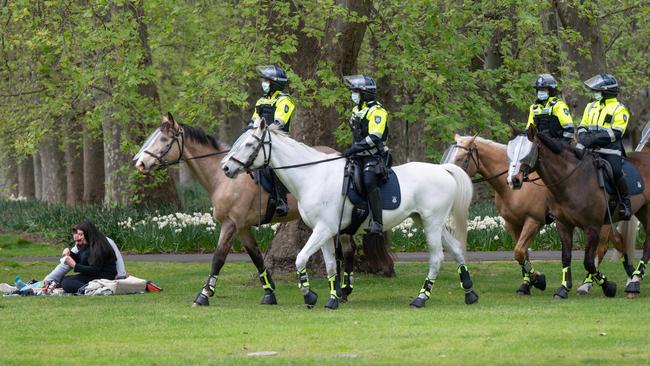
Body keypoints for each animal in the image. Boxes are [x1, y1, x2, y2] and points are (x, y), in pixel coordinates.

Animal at [220, 119, 478, 308]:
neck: (312, 175)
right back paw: (469, 292)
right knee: (456, 250)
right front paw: (333, 299)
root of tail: (443, 170)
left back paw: (421, 298)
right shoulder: (324, 232)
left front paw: (309, 295)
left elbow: (300, 258)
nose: (226, 168)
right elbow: (331, 266)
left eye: (249, 144)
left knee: (436, 258)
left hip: (432, 224)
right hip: (427, 222)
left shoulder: (324, 229)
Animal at [446, 134, 624, 294]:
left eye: (461, 158)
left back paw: (588, 285)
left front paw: (538, 280)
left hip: (599, 224)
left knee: (600, 250)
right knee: (616, 242)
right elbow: (522, 253)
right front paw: (528, 283)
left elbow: (519, 251)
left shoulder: (534, 221)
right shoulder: (513, 223)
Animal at [506, 127, 644, 298]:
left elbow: (588, 262)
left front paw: (608, 286)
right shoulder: (563, 224)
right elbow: (565, 257)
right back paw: (631, 276)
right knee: (620, 241)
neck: (571, 181)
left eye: (527, 152)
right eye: (510, 152)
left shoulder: (592, 227)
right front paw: (562, 287)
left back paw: (633, 281)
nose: (513, 180)